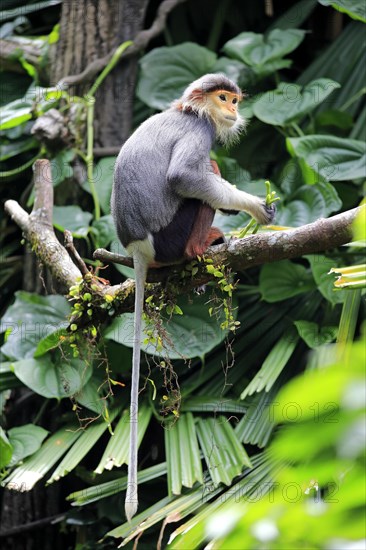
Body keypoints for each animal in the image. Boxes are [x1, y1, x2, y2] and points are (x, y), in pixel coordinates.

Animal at [111, 73, 274, 520]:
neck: (189, 111)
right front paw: (254, 207)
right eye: (224, 99)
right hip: (172, 234)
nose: (233, 109)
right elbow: (184, 177)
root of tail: (136, 249)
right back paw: (200, 248)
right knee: (203, 173)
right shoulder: (199, 132)